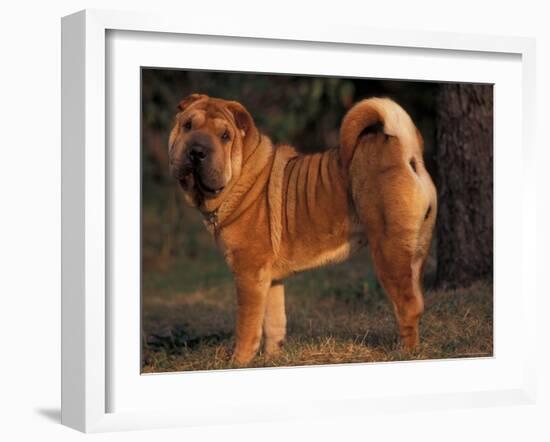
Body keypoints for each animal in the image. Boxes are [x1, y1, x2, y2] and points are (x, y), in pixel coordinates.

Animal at [170, 92, 438, 362]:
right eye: (188, 126)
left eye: (225, 136)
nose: (197, 151)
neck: (241, 177)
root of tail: (404, 149)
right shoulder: (270, 279)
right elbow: (274, 322)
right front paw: (272, 358)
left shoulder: (249, 274)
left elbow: (247, 326)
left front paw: (238, 362)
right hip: (417, 252)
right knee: (419, 300)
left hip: (389, 252)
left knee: (407, 306)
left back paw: (405, 352)